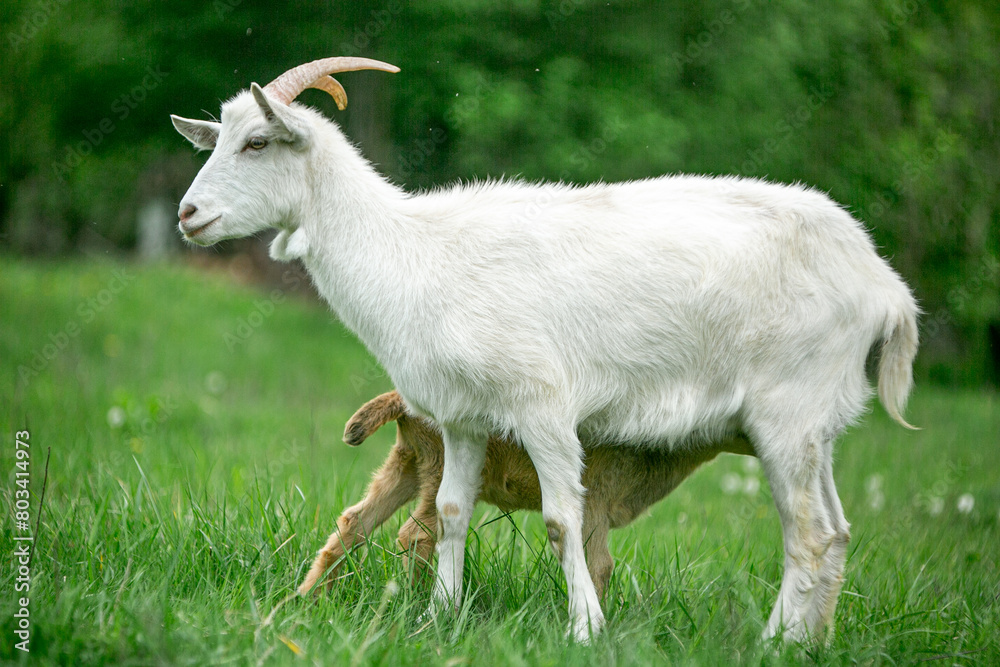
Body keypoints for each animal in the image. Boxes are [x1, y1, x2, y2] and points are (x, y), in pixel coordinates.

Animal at [298, 390, 745, 598]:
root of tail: (400, 401)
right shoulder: (595, 502)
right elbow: (599, 565)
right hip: (440, 465)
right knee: (416, 534)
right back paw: (417, 603)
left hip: (409, 464)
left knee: (355, 520)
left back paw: (308, 597)